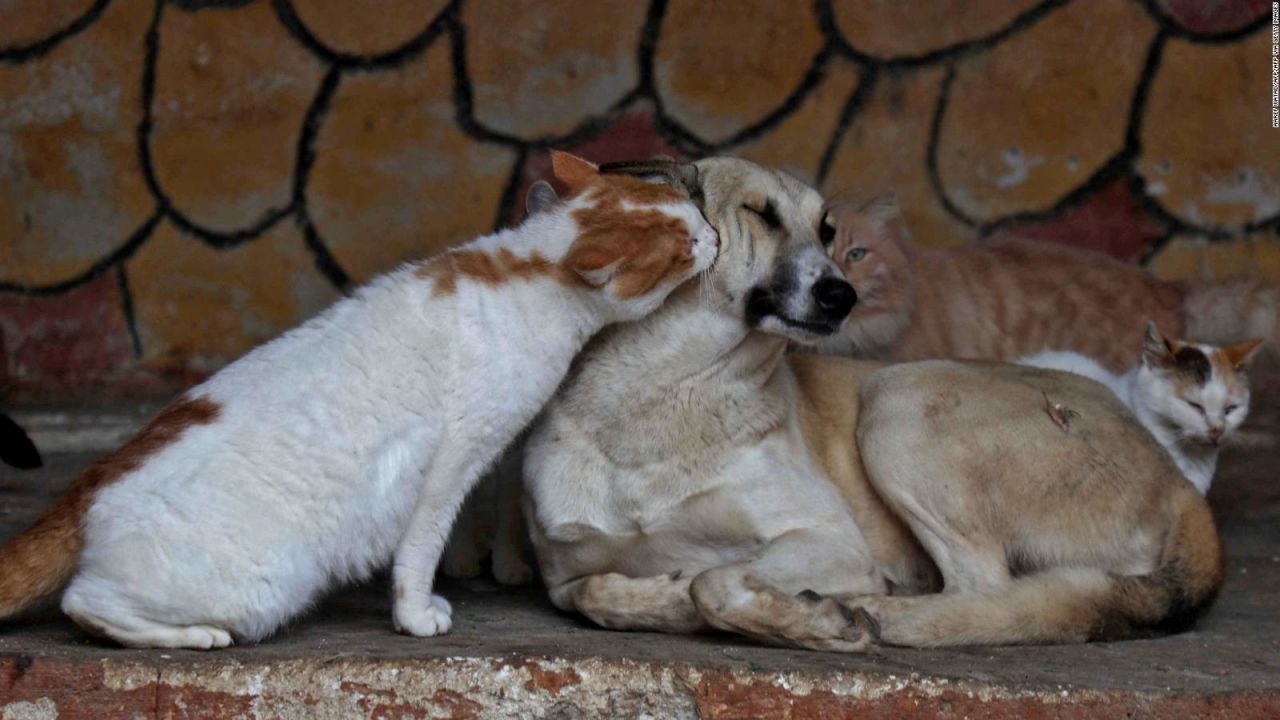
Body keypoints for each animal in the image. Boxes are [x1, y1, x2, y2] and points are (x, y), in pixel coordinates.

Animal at [0, 149, 721, 645]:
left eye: (697, 217)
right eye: (686, 242)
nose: (714, 237)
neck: (532, 266)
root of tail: (92, 479)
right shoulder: (457, 457)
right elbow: (423, 547)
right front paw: (418, 613)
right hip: (262, 583)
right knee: (85, 603)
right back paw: (195, 635)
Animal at [522, 158, 1218, 650]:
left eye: (827, 230)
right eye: (760, 215)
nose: (842, 295)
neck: (662, 393)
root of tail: (1180, 482)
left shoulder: (830, 539)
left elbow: (710, 581)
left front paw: (805, 616)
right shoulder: (563, 573)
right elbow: (596, 593)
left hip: (899, 399)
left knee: (987, 588)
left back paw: (883, 611)